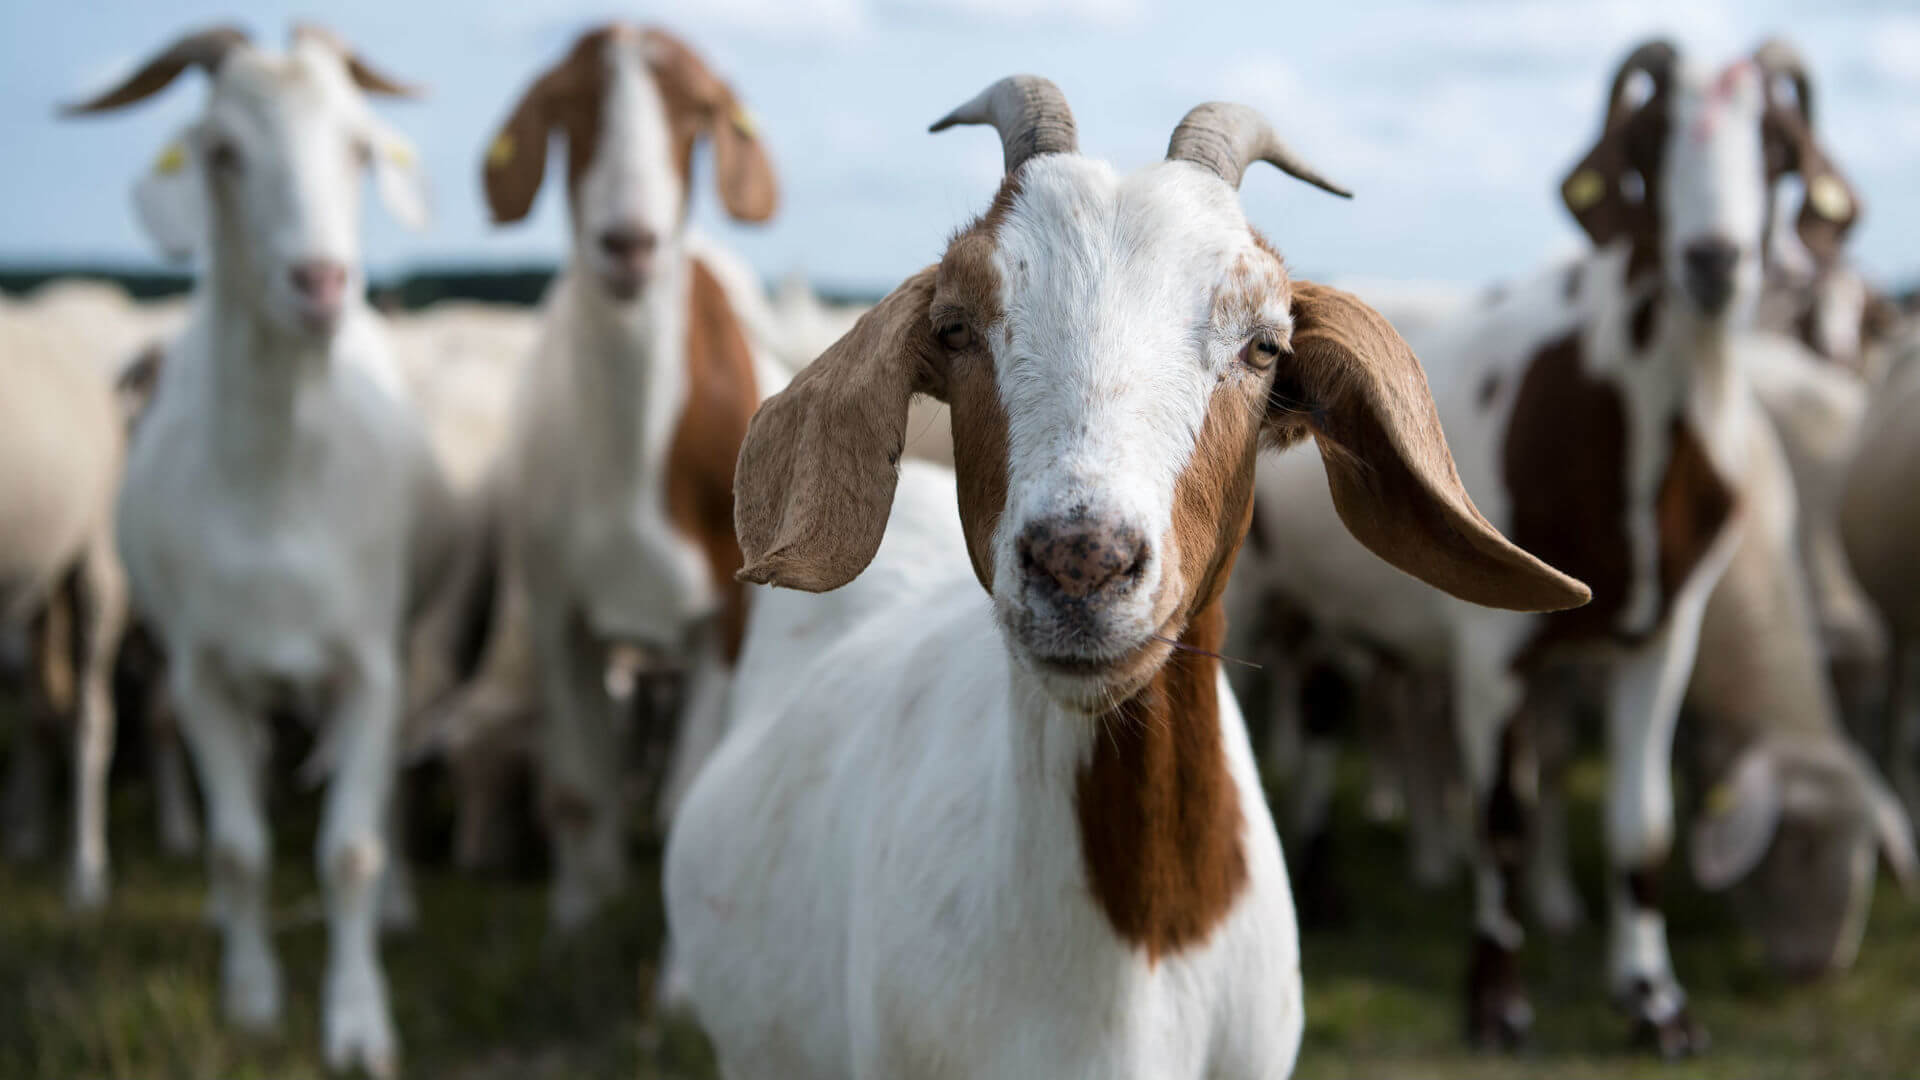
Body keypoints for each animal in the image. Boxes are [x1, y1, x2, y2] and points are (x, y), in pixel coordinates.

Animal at [65, 25, 439, 1068]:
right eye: (224, 152)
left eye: (358, 148)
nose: (320, 284)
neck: (280, 486)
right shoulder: (204, 672)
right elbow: (239, 849)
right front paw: (252, 993)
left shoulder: (370, 665)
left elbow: (349, 850)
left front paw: (357, 1020)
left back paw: (400, 907)